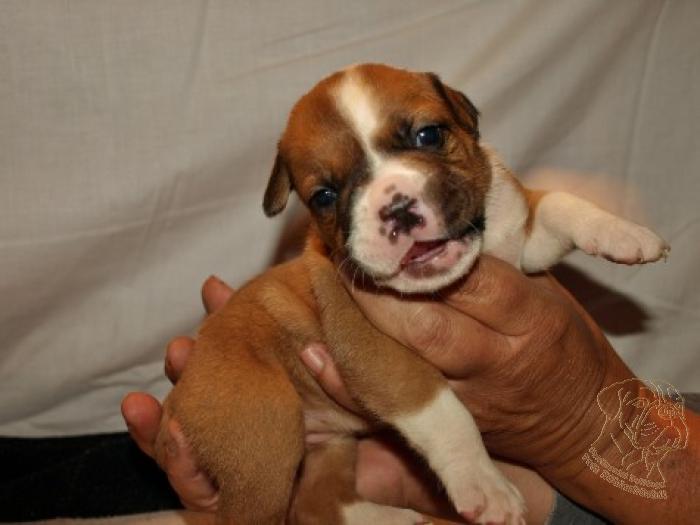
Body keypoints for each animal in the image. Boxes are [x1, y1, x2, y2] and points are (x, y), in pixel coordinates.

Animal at [157, 64, 669, 524]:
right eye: (324, 195)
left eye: (428, 136)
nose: (398, 208)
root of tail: (182, 390)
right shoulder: (373, 348)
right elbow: (441, 409)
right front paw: (484, 484)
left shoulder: (522, 243)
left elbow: (560, 204)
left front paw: (626, 234)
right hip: (267, 437)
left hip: (328, 449)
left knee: (320, 503)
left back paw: (391, 517)